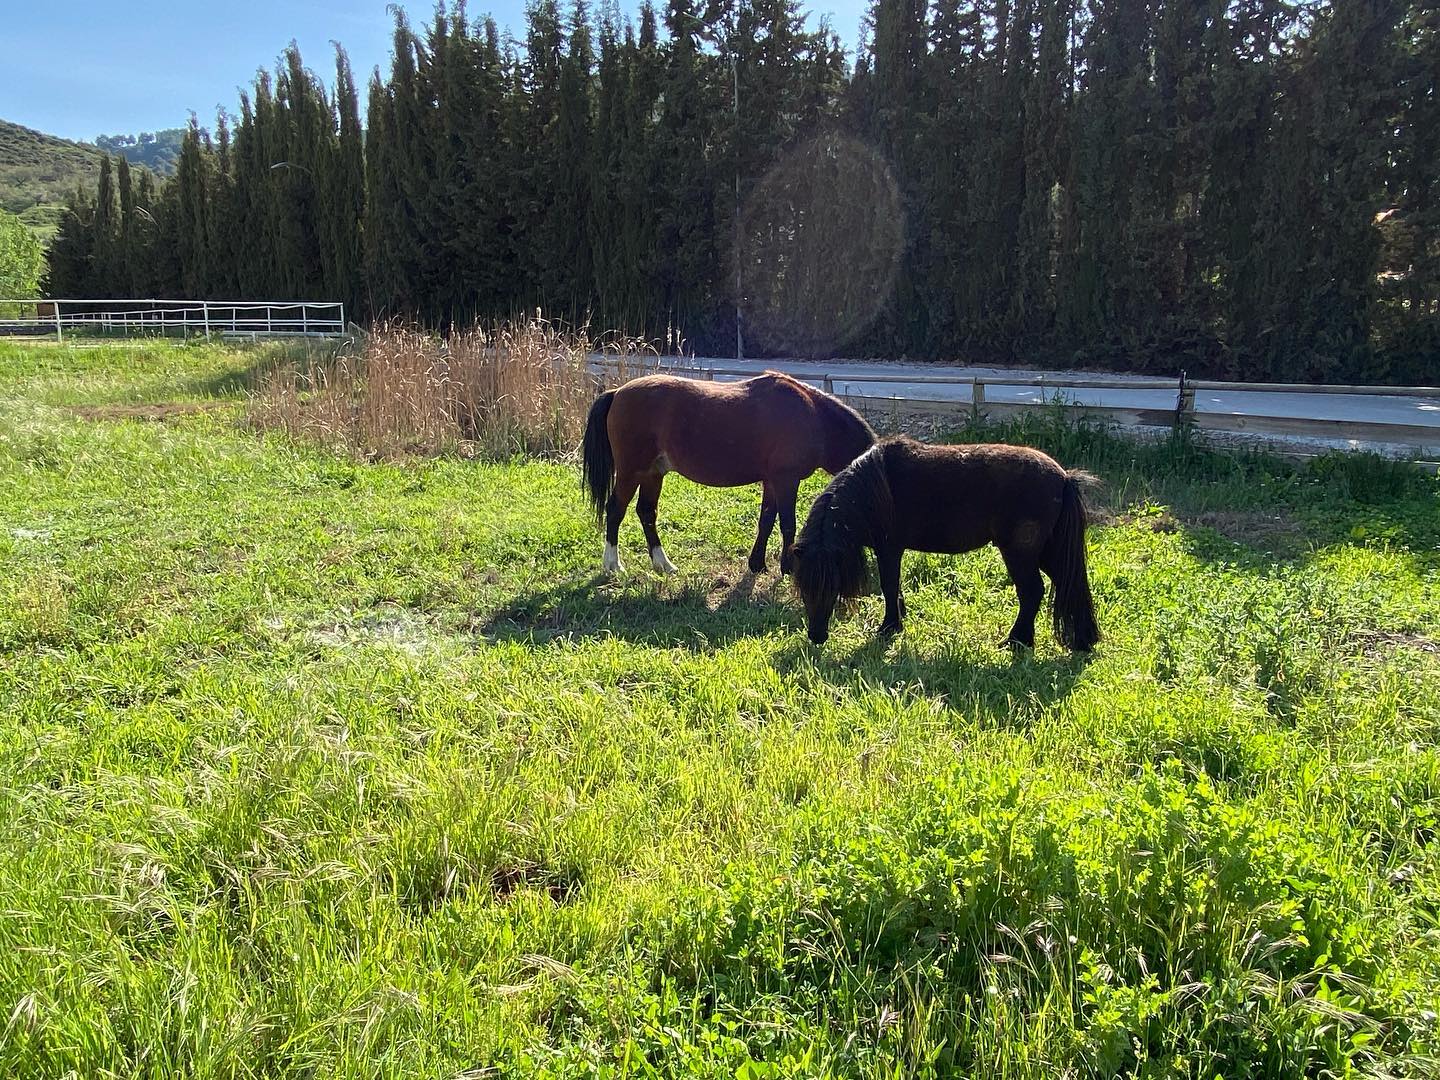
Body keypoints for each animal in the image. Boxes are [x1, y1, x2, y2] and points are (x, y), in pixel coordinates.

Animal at [578, 371, 869, 576]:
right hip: (631, 472)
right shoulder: (786, 479)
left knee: (646, 513)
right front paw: (788, 567)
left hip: (652, 474)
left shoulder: (771, 481)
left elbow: (766, 520)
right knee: (616, 510)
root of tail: (617, 392)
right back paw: (613, 565)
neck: (813, 417)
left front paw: (757, 564)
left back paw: (663, 564)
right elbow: (787, 524)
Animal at [794, 437, 1094, 650]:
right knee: (1066, 584)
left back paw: (1017, 641)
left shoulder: (888, 548)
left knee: (1032, 592)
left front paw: (889, 627)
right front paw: (899, 619)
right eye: (804, 588)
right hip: (1046, 553)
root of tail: (1064, 477)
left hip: (1020, 555)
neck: (872, 492)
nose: (816, 636)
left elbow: (889, 586)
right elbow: (895, 587)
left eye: (832, 586)